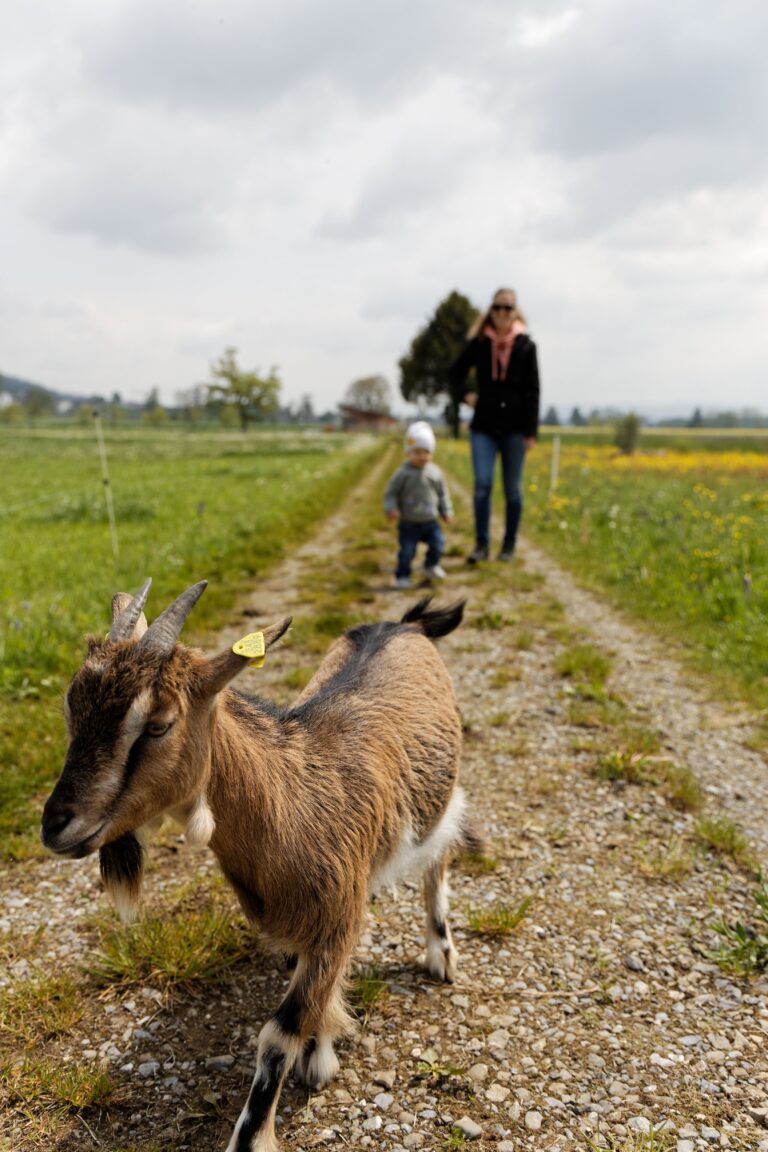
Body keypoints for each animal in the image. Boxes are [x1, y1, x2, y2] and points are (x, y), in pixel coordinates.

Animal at [42, 580, 476, 1152]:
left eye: (158, 725)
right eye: (71, 708)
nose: (54, 825)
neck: (295, 801)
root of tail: (405, 624)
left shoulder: (338, 919)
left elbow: (277, 1036)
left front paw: (261, 1124)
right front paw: (319, 1051)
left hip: (441, 795)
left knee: (438, 859)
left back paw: (440, 954)